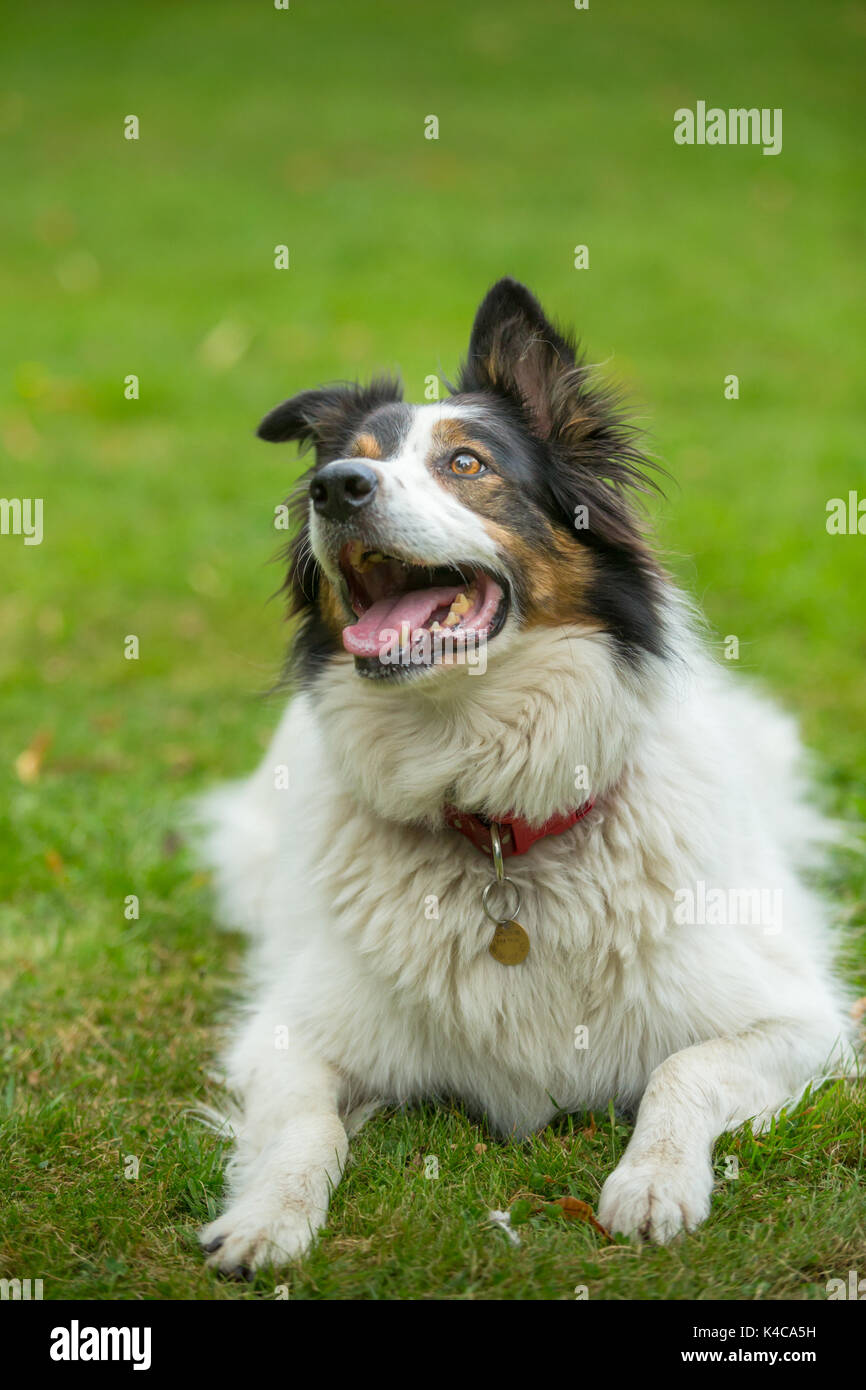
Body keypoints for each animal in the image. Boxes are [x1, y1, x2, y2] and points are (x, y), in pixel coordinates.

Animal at [194, 276, 856, 1273]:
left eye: (466, 463)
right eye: (346, 464)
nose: (332, 488)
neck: (496, 818)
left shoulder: (803, 1021)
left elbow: (683, 1068)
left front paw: (653, 1181)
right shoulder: (284, 1037)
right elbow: (306, 1127)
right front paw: (269, 1213)